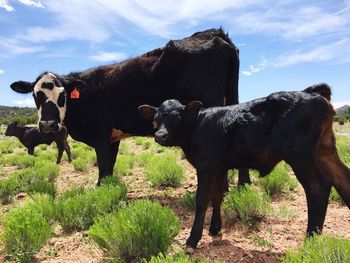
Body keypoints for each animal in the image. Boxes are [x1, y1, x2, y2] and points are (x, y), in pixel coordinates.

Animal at [8, 28, 249, 186]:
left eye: (63, 95)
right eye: (35, 95)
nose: (48, 125)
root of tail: (215, 33)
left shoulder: (101, 136)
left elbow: (103, 167)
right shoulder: (112, 138)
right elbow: (109, 168)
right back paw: (243, 187)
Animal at [139, 84, 350, 250]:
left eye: (177, 118)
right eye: (156, 119)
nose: (160, 135)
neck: (197, 125)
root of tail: (310, 92)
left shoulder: (206, 166)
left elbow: (202, 200)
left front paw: (193, 240)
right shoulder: (219, 167)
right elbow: (218, 196)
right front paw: (215, 228)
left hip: (299, 156)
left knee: (318, 187)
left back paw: (310, 241)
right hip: (325, 150)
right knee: (343, 179)